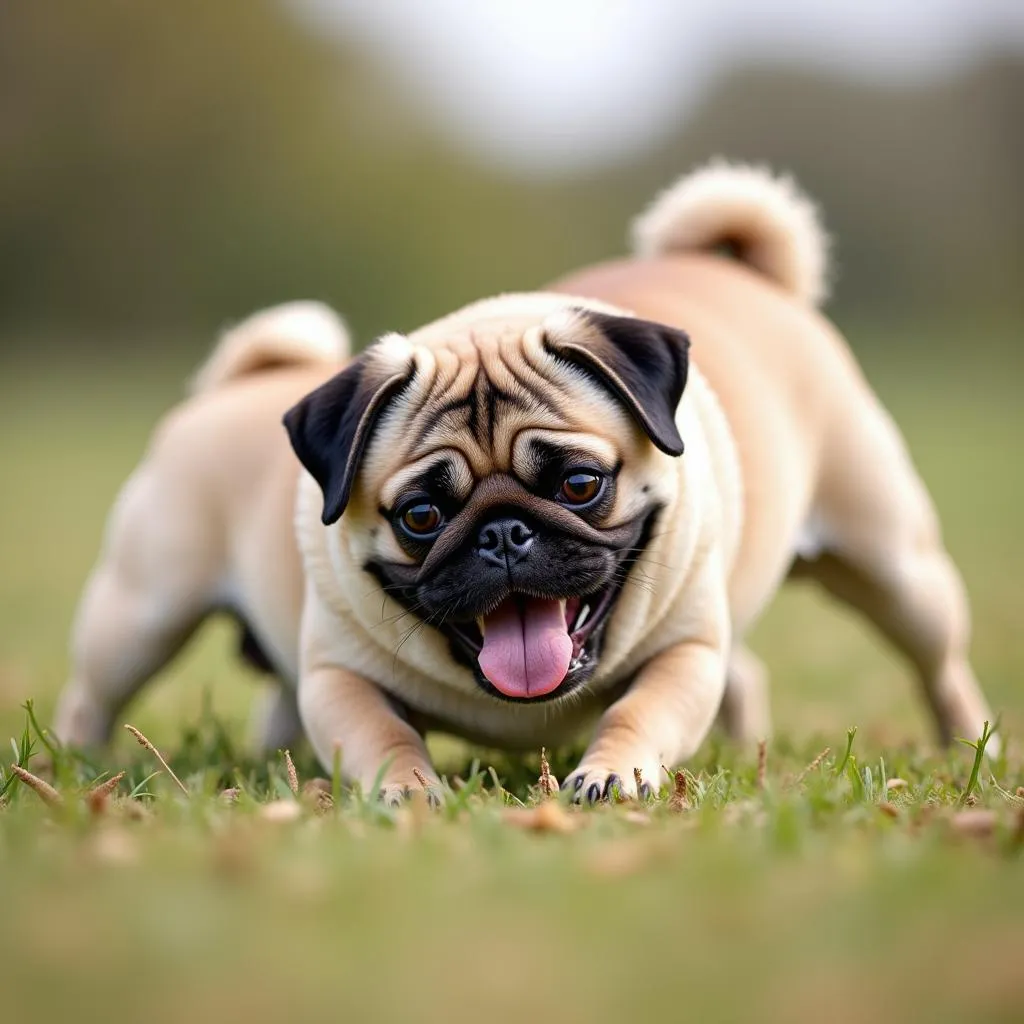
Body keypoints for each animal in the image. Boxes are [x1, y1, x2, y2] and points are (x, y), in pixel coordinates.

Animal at [54, 161, 991, 798]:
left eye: (579, 486)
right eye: (421, 515)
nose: (505, 533)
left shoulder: (688, 651)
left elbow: (639, 710)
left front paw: (613, 775)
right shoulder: (336, 679)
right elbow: (380, 734)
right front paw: (409, 791)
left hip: (895, 567)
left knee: (933, 662)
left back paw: (969, 741)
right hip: (139, 612)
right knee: (94, 694)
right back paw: (73, 763)